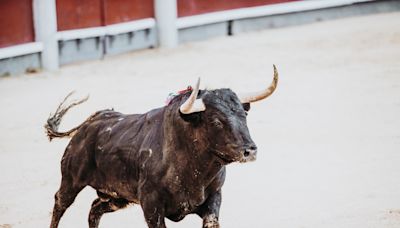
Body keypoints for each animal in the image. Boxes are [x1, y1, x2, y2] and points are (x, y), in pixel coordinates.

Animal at [44, 65, 278, 227]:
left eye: (244, 115)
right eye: (216, 121)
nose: (249, 150)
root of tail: (89, 122)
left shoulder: (213, 197)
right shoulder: (151, 206)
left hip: (116, 196)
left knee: (95, 209)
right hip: (71, 180)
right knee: (59, 203)